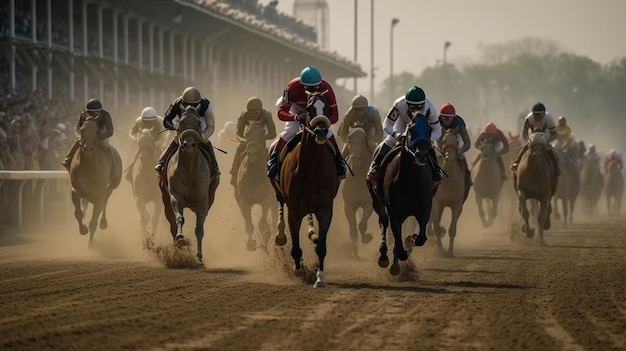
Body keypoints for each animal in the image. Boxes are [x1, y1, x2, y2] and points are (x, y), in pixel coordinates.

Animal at [158, 106, 219, 264]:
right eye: (181, 122)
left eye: (198, 122)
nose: (189, 145)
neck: (189, 169)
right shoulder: (176, 196)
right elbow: (179, 218)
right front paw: (180, 239)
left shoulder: (202, 202)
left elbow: (199, 228)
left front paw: (199, 256)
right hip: (165, 198)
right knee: (172, 223)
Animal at [233, 122, 274, 252]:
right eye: (247, 134)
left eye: (262, 134)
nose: (252, 153)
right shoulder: (244, 201)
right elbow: (249, 225)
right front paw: (250, 244)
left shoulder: (267, 198)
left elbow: (263, 223)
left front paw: (266, 236)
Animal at [266, 91, 336, 288]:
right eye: (310, 107)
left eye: (327, 108)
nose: (321, 131)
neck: (311, 167)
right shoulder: (294, 211)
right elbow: (296, 247)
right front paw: (299, 270)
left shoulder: (325, 209)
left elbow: (321, 246)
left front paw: (320, 278)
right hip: (278, 191)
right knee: (280, 201)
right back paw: (280, 234)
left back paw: (312, 232)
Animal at [338, 126, 372, 258]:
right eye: (349, 138)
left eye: (365, 138)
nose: (356, 157)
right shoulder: (349, 205)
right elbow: (353, 229)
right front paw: (355, 250)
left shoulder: (369, 203)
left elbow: (362, 225)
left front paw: (367, 238)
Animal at [366, 117, 434, 276]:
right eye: (411, 130)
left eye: (430, 129)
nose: (422, 154)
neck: (411, 181)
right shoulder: (395, 213)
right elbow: (397, 239)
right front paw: (397, 257)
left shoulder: (424, 210)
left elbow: (421, 238)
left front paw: (410, 239)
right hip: (376, 201)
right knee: (383, 222)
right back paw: (384, 256)